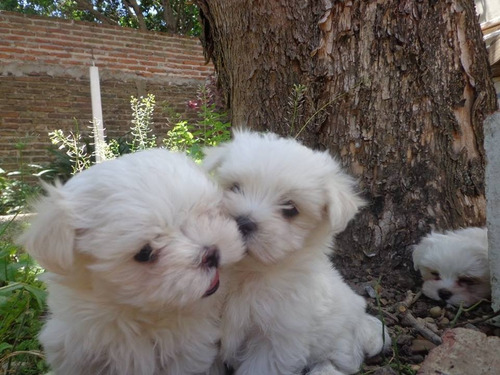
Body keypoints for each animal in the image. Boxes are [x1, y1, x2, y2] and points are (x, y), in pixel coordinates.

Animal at [203, 131, 390, 375]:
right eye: (235, 187)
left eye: (291, 209)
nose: (243, 222)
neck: (248, 273)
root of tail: (362, 320)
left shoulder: (275, 341)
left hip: (339, 343)